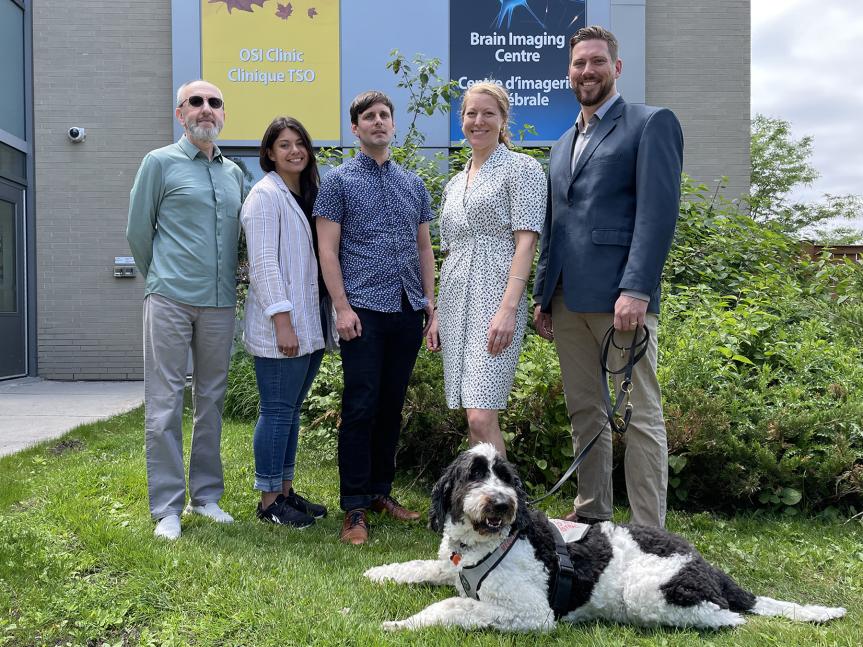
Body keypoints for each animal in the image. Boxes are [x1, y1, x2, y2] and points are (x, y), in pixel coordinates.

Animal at [362, 446, 844, 632]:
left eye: (506, 478)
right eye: (473, 476)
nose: (501, 504)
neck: (486, 546)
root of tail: (707, 566)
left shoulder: (531, 613)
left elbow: (452, 605)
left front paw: (402, 624)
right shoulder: (454, 568)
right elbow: (425, 568)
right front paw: (380, 572)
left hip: (648, 594)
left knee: (729, 618)